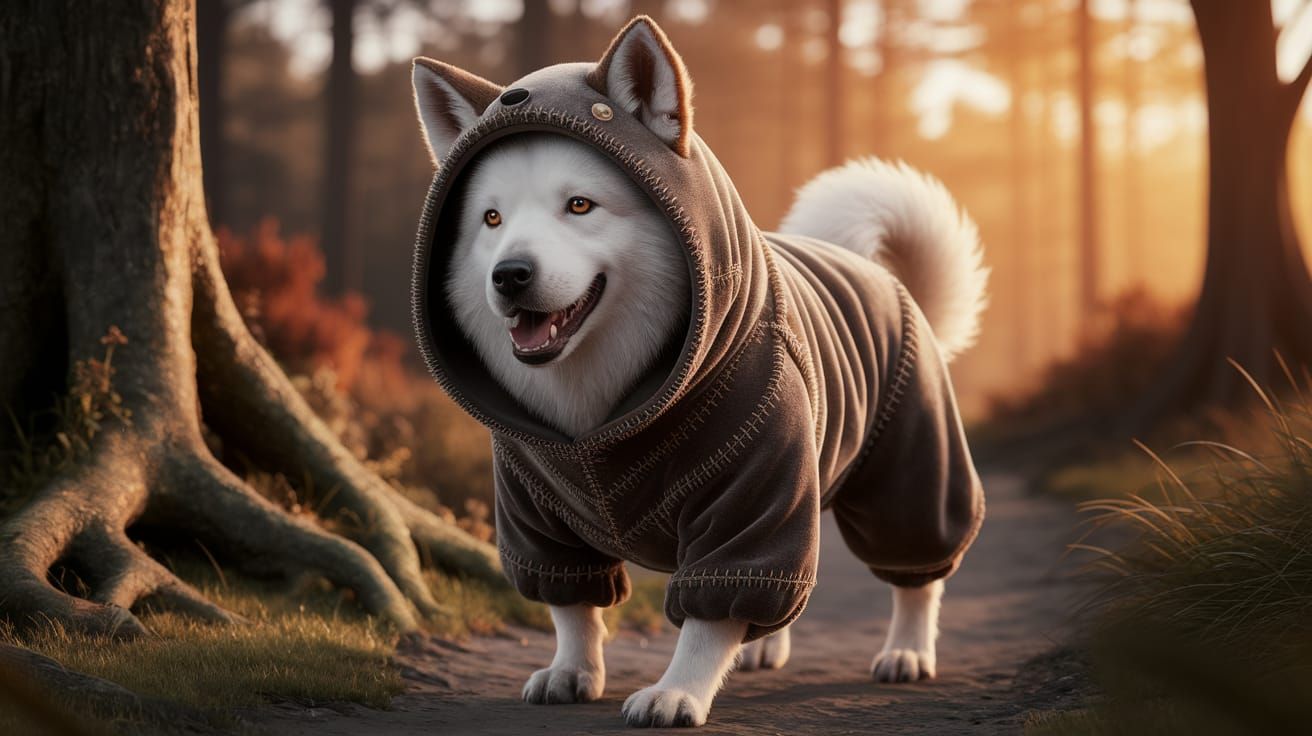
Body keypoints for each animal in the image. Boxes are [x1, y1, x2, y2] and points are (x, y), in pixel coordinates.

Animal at [411, 16, 988, 728]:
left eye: (580, 206)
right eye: (490, 219)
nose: (508, 275)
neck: (597, 420)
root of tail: (875, 271)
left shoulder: (752, 491)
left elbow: (710, 613)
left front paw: (679, 689)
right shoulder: (536, 514)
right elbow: (572, 605)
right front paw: (574, 669)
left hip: (908, 474)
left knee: (916, 572)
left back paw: (907, 649)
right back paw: (766, 649)